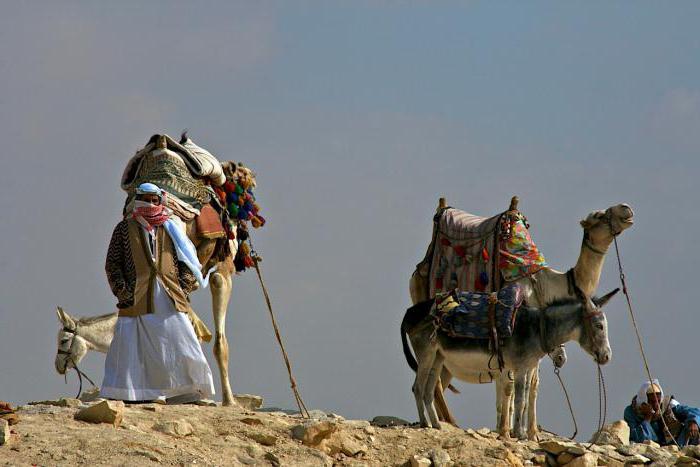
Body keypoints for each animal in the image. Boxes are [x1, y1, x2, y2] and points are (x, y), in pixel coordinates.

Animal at [404, 200, 636, 438]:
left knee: (436, 383)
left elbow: (532, 387)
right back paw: (445, 422)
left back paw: (443, 422)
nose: (626, 208)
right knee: (433, 384)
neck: (550, 285)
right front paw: (509, 431)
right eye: (599, 216)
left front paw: (529, 432)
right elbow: (512, 389)